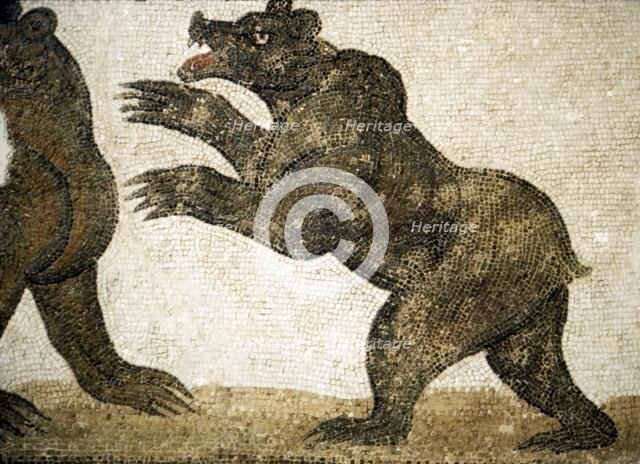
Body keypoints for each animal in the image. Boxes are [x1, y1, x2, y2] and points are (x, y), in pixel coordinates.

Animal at [120, 0, 617, 453]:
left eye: (259, 34)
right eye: (242, 19)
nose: (199, 20)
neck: (296, 97)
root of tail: (565, 252)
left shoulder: (330, 186)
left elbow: (283, 223)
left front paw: (167, 185)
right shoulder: (279, 152)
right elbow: (253, 149)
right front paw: (166, 102)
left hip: (473, 279)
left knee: (401, 341)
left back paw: (355, 429)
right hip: (527, 309)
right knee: (533, 367)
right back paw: (574, 434)